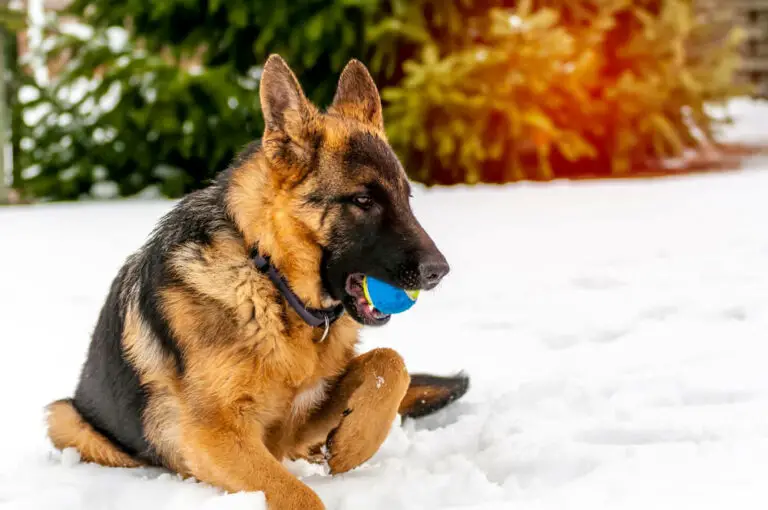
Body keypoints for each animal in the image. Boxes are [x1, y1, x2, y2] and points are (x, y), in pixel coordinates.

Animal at [48, 53, 472, 508]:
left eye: (406, 198)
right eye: (363, 200)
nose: (439, 270)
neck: (270, 280)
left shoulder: (294, 423)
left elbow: (390, 362)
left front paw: (353, 444)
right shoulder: (215, 437)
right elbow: (299, 495)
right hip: (65, 419)